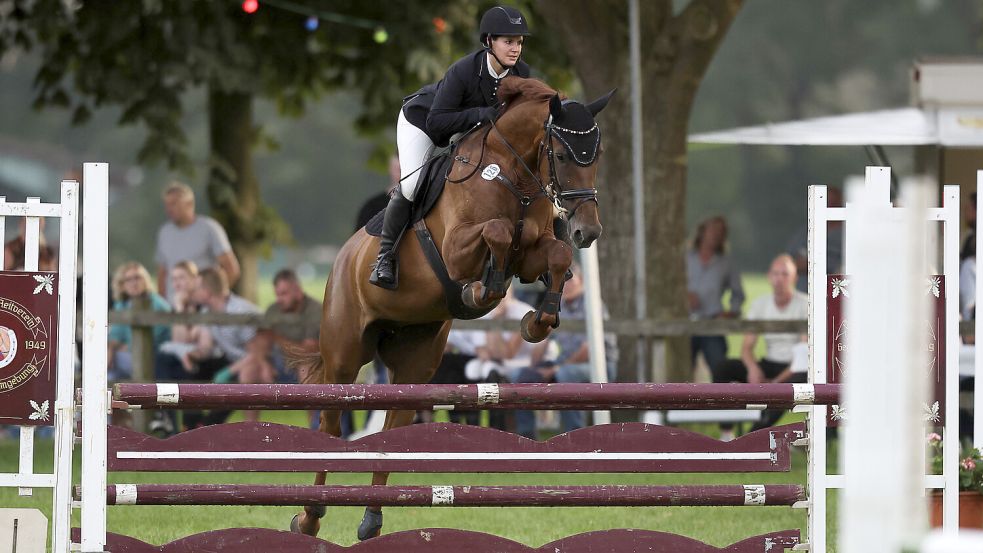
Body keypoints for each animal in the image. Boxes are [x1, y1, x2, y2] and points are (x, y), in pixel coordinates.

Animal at [292, 76, 616, 540]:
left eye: (597, 154)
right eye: (558, 155)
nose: (586, 231)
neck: (515, 176)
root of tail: (341, 259)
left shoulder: (531, 254)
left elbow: (554, 254)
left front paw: (538, 321)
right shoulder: (457, 249)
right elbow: (497, 232)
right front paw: (481, 292)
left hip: (416, 361)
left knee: (393, 427)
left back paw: (371, 519)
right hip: (344, 355)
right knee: (332, 425)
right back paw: (309, 515)